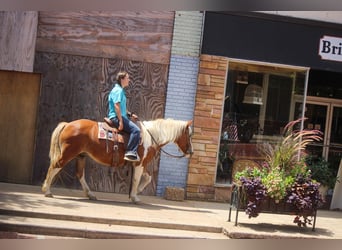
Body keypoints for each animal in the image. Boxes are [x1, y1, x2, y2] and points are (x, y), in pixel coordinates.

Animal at [40, 117, 192, 203]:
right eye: (189, 134)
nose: (191, 152)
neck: (151, 136)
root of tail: (67, 124)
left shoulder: (141, 164)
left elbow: (147, 178)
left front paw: (136, 193)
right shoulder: (139, 164)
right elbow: (137, 179)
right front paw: (134, 196)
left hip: (81, 156)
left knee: (80, 174)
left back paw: (91, 195)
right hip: (67, 154)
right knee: (54, 167)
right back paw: (47, 191)